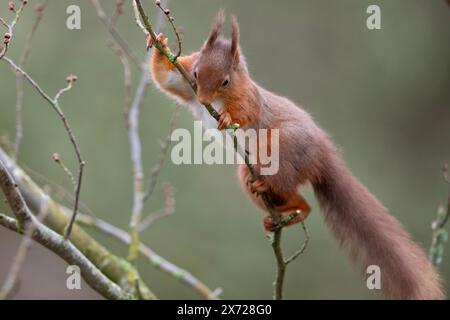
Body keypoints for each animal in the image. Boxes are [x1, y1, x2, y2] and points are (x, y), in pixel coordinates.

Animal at [149, 10, 444, 300]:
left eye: (226, 81)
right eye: (196, 72)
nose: (204, 100)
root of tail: (323, 158)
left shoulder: (250, 97)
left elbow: (245, 112)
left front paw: (227, 117)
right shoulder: (184, 80)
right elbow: (166, 78)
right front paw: (159, 42)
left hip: (282, 148)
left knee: (290, 186)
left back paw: (280, 197)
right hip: (249, 170)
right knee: (295, 199)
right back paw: (282, 213)